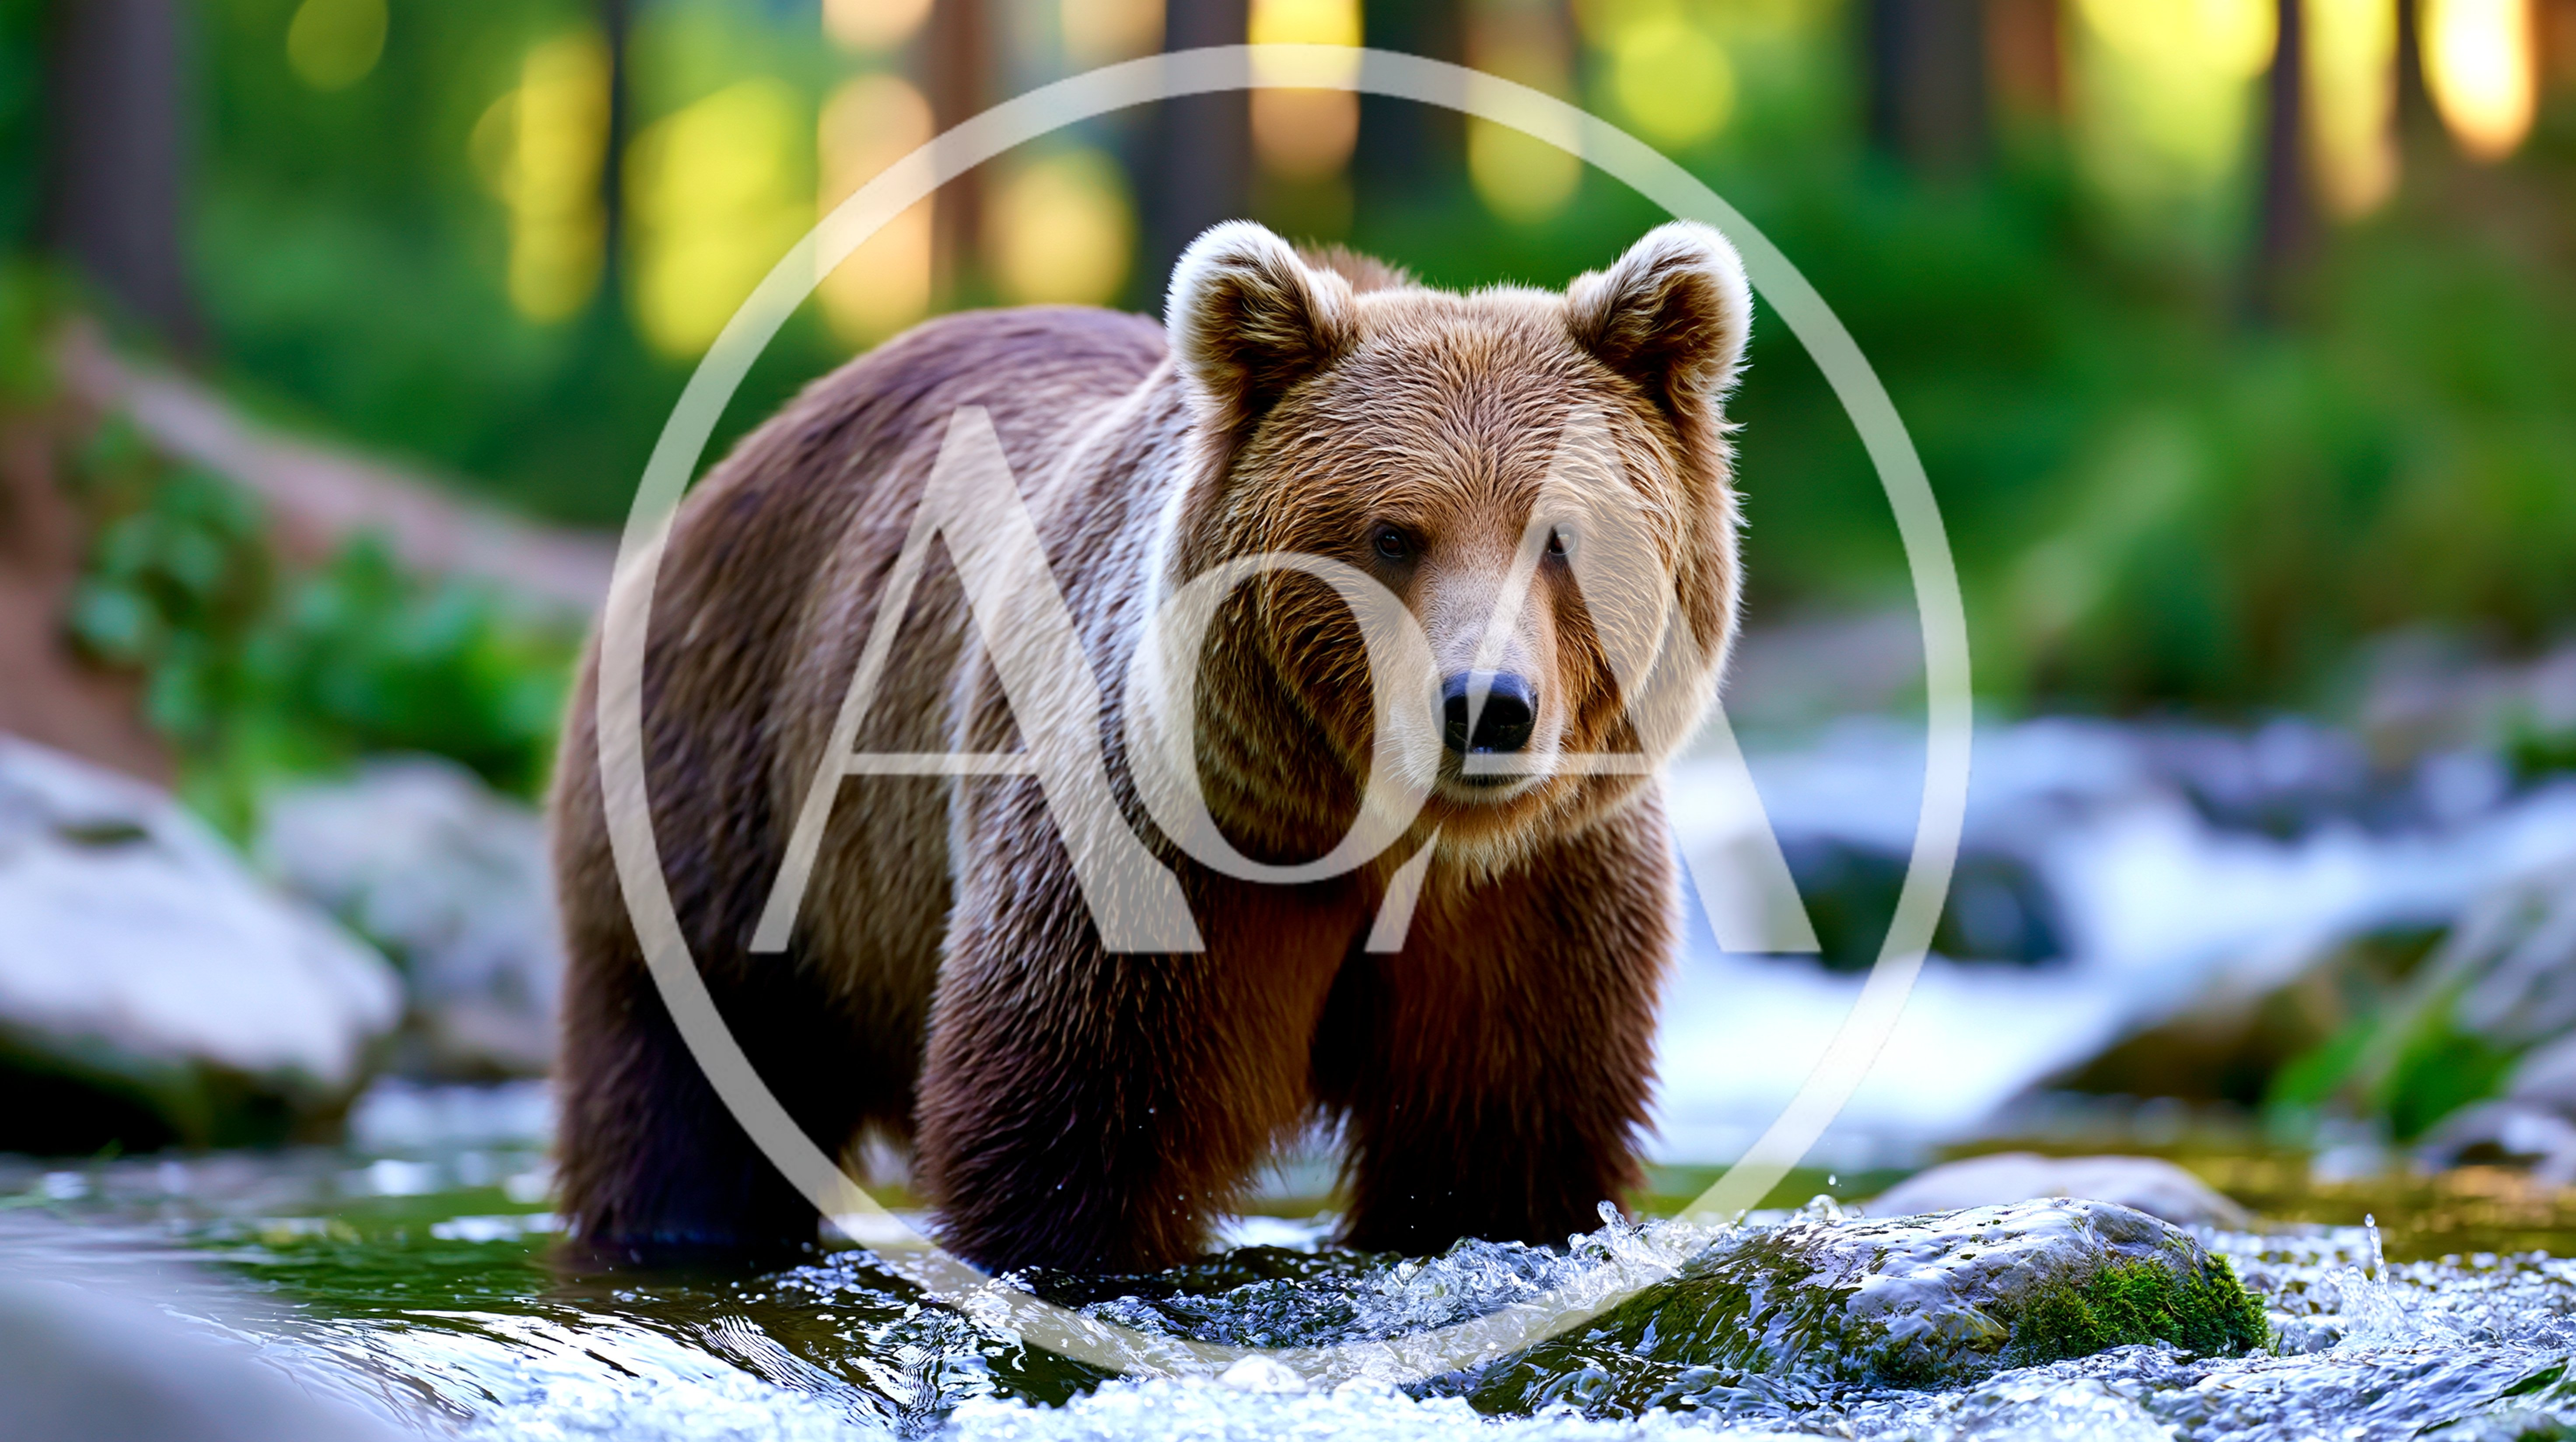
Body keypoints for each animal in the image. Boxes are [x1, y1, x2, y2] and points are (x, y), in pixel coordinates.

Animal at [547, 218, 1753, 1274]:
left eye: (1562, 534)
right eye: (1392, 533)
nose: (1484, 705)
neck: (1376, 830)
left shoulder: (1535, 901)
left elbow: (1502, 1147)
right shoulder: (1158, 851)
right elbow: (1071, 1126)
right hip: (733, 788)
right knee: (694, 1081)